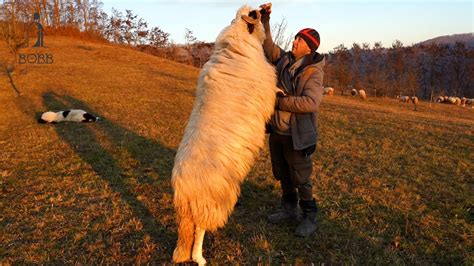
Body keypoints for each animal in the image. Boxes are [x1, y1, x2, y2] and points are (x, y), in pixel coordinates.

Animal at [171, 4, 278, 266]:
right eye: (255, 12)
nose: (266, 8)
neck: (239, 38)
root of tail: (182, 192)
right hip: (209, 201)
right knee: (200, 230)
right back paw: (199, 258)